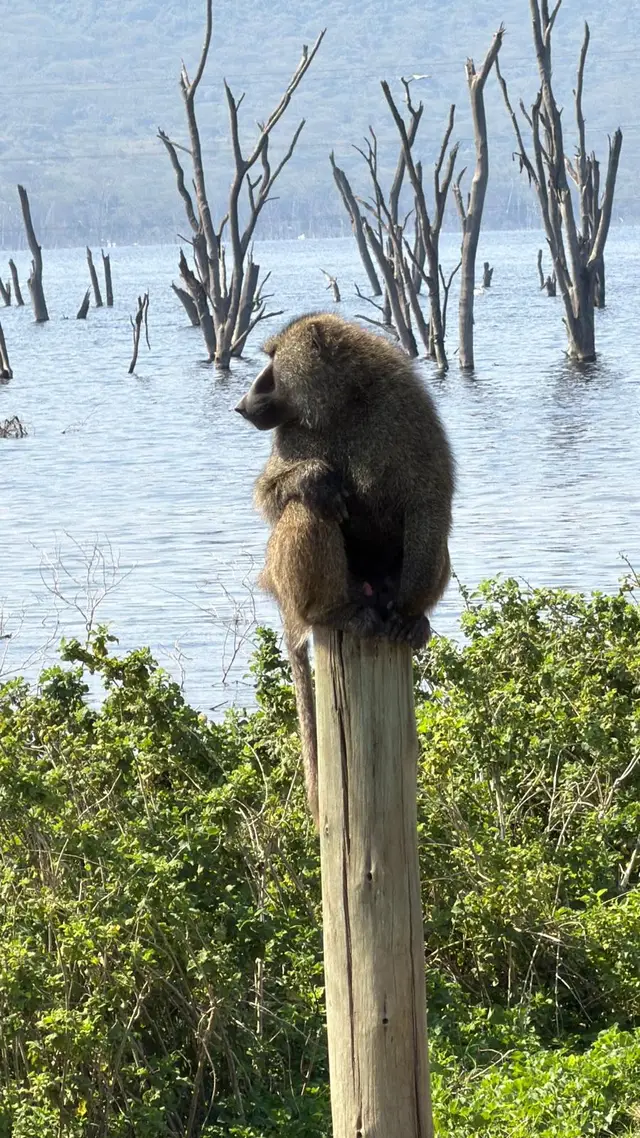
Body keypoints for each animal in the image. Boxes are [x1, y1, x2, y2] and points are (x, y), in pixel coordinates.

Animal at [235, 313, 455, 824]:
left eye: (273, 360)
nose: (242, 403)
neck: (346, 404)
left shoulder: (406, 409)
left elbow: (429, 499)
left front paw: (408, 615)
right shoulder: (291, 436)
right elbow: (274, 495)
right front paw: (313, 479)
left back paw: (411, 618)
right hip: (298, 582)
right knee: (307, 512)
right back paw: (332, 611)